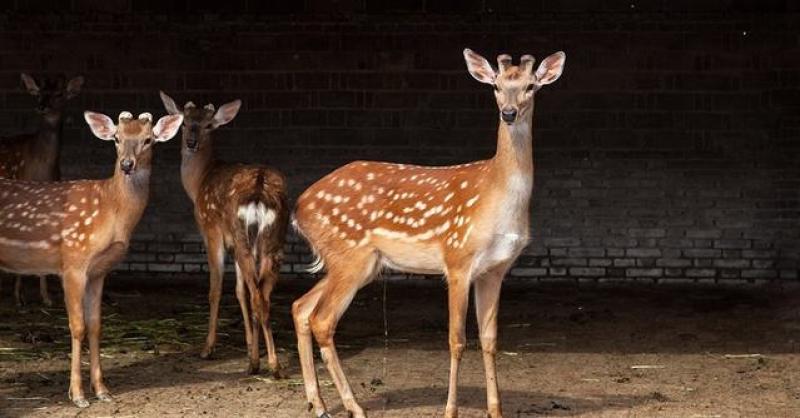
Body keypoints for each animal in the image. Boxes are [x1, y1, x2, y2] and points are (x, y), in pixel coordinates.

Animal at [0, 109, 183, 407]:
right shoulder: (73, 261)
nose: (127, 164)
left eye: (148, 140)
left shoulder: (99, 271)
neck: (113, 212)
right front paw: (77, 395)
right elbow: (78, 327)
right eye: (117, 138)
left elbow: (96, 325)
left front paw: (102, 390)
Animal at [160, 91, 289, 377]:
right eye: (185, 123)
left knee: (257, 296)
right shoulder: (232, 245)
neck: (198, 183)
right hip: (271, 243)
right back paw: (267, 363)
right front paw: (250, 345)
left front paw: (207, 348)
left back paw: (264, 364)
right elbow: (240, 291)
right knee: (262, 296)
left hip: (243, 240)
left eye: (209, 125)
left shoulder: (211, 231)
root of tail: (258, 193)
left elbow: (216, 288)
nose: (191, 142)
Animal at [291, 48, 565, 418]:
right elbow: (456, 340)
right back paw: (354, 407)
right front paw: (450, 410)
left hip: (359, 263)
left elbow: (490, 340)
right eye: (495, 85)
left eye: (531, 86)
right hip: (350, 255)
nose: (508, 113)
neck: (497, 197)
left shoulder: (495, 270)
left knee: (300, 307)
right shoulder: (457, 259)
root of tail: (299, 207)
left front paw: (496, 410)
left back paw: (318, 403)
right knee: (322, 319)